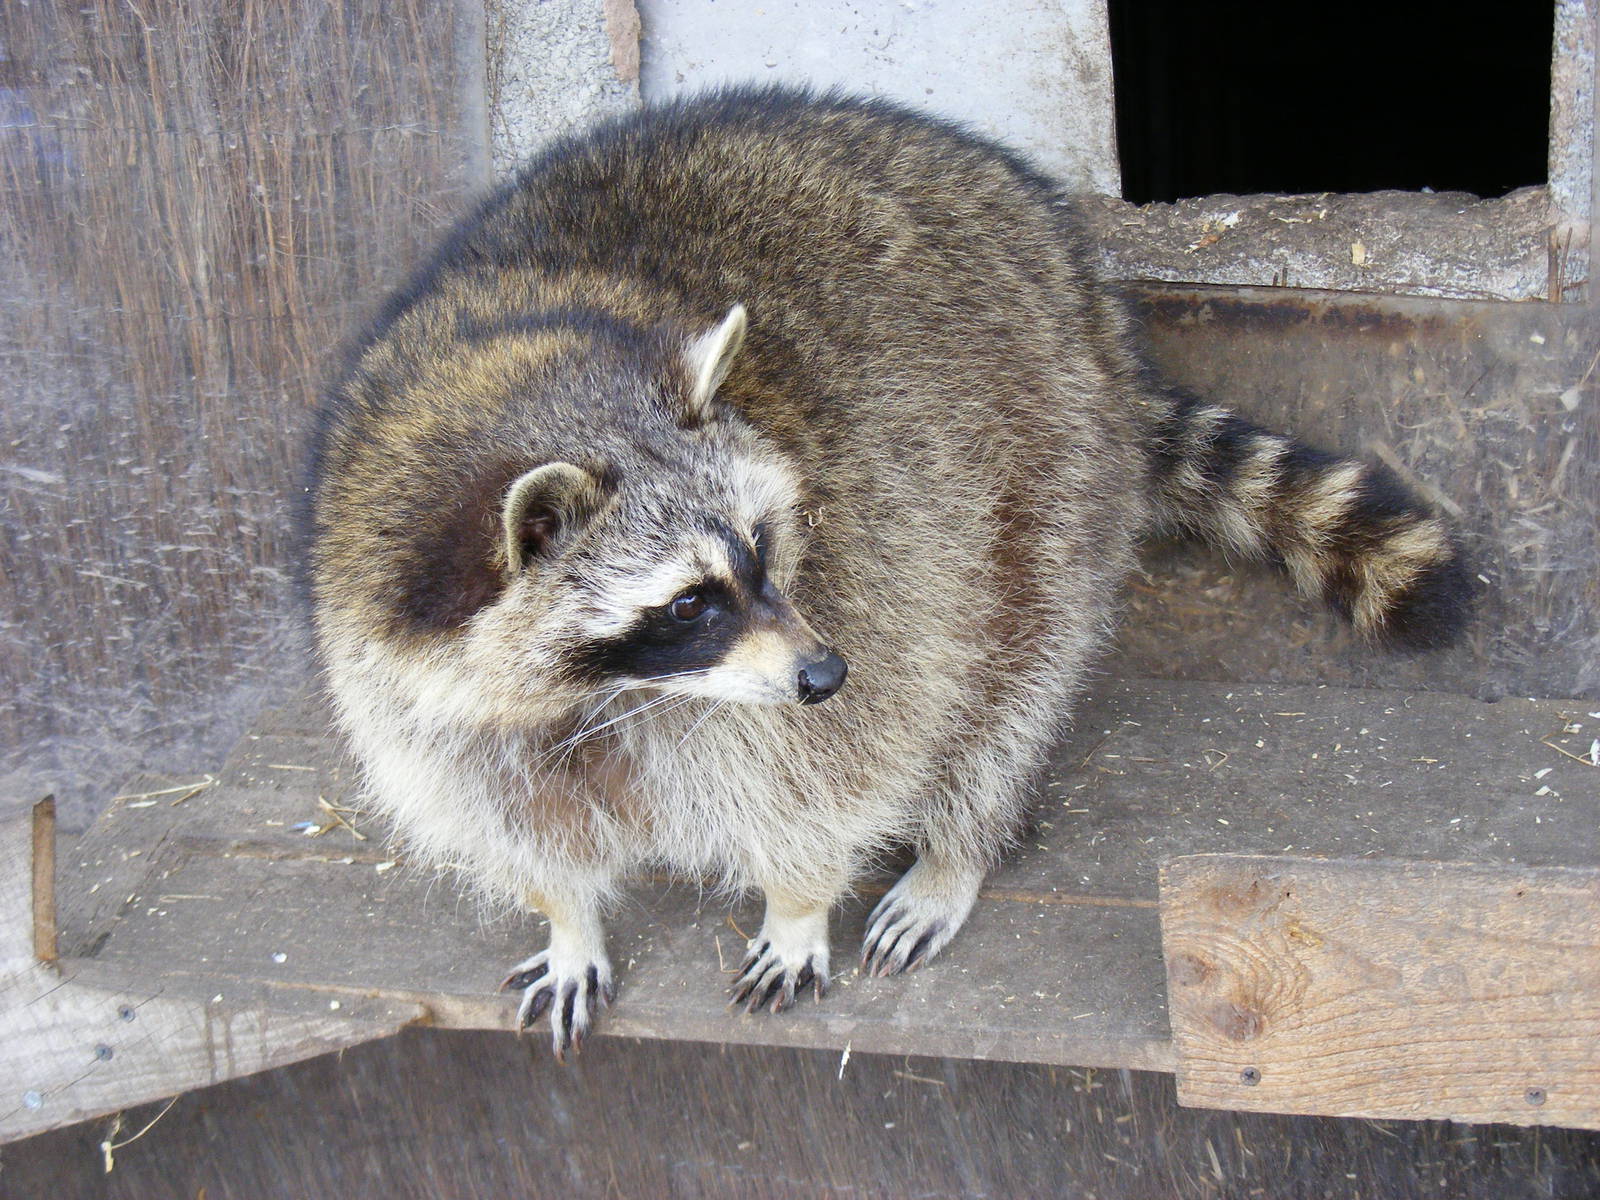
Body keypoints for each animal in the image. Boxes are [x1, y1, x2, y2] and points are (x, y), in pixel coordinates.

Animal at [308, 86, 1469, 1056]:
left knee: (1012, 670)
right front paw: (567, 915)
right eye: (687, 601)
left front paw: (796, 900)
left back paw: (959, 844)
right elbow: (495, 807)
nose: (822, 673)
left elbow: (839, 764)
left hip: (1047, 457)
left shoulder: (864, 577)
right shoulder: (395, 651)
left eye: (763, 546)